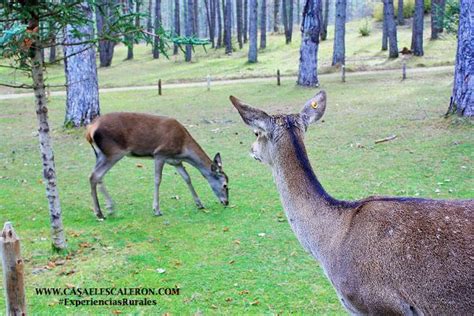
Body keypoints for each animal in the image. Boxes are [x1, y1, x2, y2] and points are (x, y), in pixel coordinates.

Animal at [85, 113, 230, 220]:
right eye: (225, 185)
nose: (227, 202)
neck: (183, 149)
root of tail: (90, 130)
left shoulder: (175, 161)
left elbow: (187, 178)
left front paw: (199, 204)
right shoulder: (160, 154)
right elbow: (157, 180)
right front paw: (156, 210)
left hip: (100, 154)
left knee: (97, 176)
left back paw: (109, 208)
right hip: (114, 152)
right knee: (95, 175)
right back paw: (99, 213)